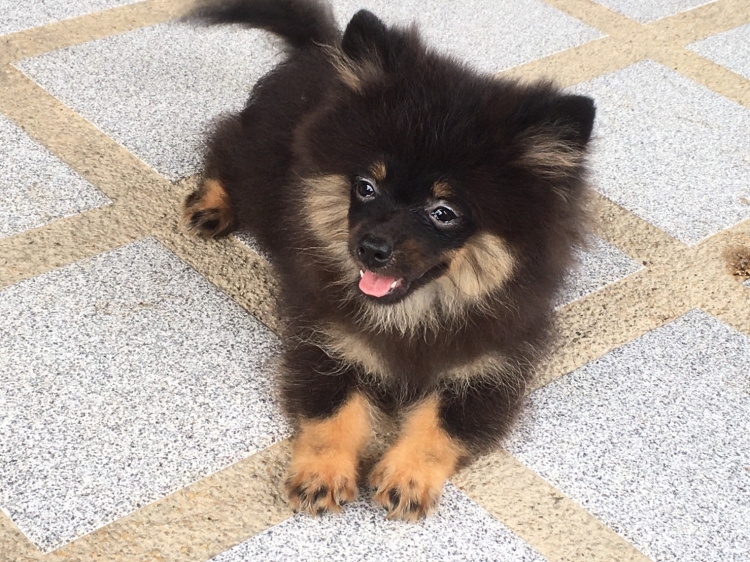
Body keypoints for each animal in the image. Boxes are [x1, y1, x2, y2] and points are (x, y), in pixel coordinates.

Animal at [183, 0, 595, 521]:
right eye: (366, 187)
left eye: (444, 212)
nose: (370, 248)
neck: (412, 316)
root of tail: (322, 48)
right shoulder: (326, 341)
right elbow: (332, 412)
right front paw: (323, 474)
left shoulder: (491, 368)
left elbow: (441, 428)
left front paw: (408, 477)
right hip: (259, 159)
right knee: (224, 146)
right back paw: (211, 205)